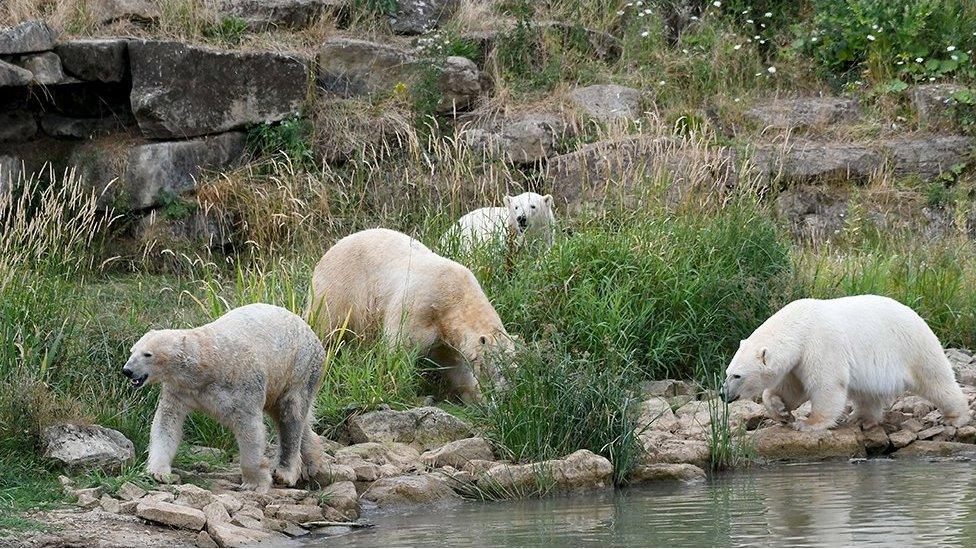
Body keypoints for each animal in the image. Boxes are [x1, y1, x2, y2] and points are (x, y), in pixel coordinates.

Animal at [123, 304, 324, 492]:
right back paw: (312, 462)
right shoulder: (180, 390)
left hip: (299, 368)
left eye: (147, 354)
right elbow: (167, 422)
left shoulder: (242, 387)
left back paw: (285, 473)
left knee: (290, 414)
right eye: (132, 351)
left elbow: (250, 428)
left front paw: (254, 483)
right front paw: (157, 472)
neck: (206, 363)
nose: (127, 370)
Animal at [308, 227, 516, 402]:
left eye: (514, 368)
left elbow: (456, 367)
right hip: (339, 290)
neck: (454, 297)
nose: (507, 393)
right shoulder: (419, 306)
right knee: (327, 327)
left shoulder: (448, 337)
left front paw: (478, 399)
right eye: (499, 368)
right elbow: (400, 348)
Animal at [716, 294, 968, 430]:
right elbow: (791, 388)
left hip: (912, 347)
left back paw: (955, 417)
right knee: (868, 393)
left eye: (737, 375)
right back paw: (861, 419)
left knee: (935, 380)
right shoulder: (798, 360)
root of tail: (918, 316)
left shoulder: (820, 344)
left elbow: (826, 384)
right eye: (727, 372)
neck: (800, 325)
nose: (722, 393)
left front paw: (808, 424)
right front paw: (781, 411)